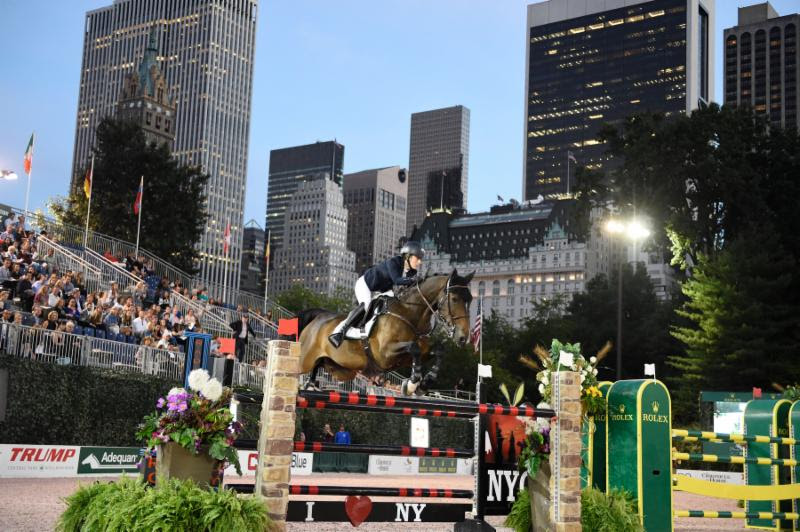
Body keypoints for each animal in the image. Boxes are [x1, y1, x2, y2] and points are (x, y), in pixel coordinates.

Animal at [300, 270, 476, 394]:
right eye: (454, 299)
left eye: (470, 300)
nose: (463, 337)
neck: (410, 314)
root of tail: (319, 316)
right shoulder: (384, 354)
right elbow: (414, 348)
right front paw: (412, 384)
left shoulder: (408, 357)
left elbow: (439, 350)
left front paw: (425, 383)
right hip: (304, 360)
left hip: (340, 369)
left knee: (317, 367)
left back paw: (310, 385)